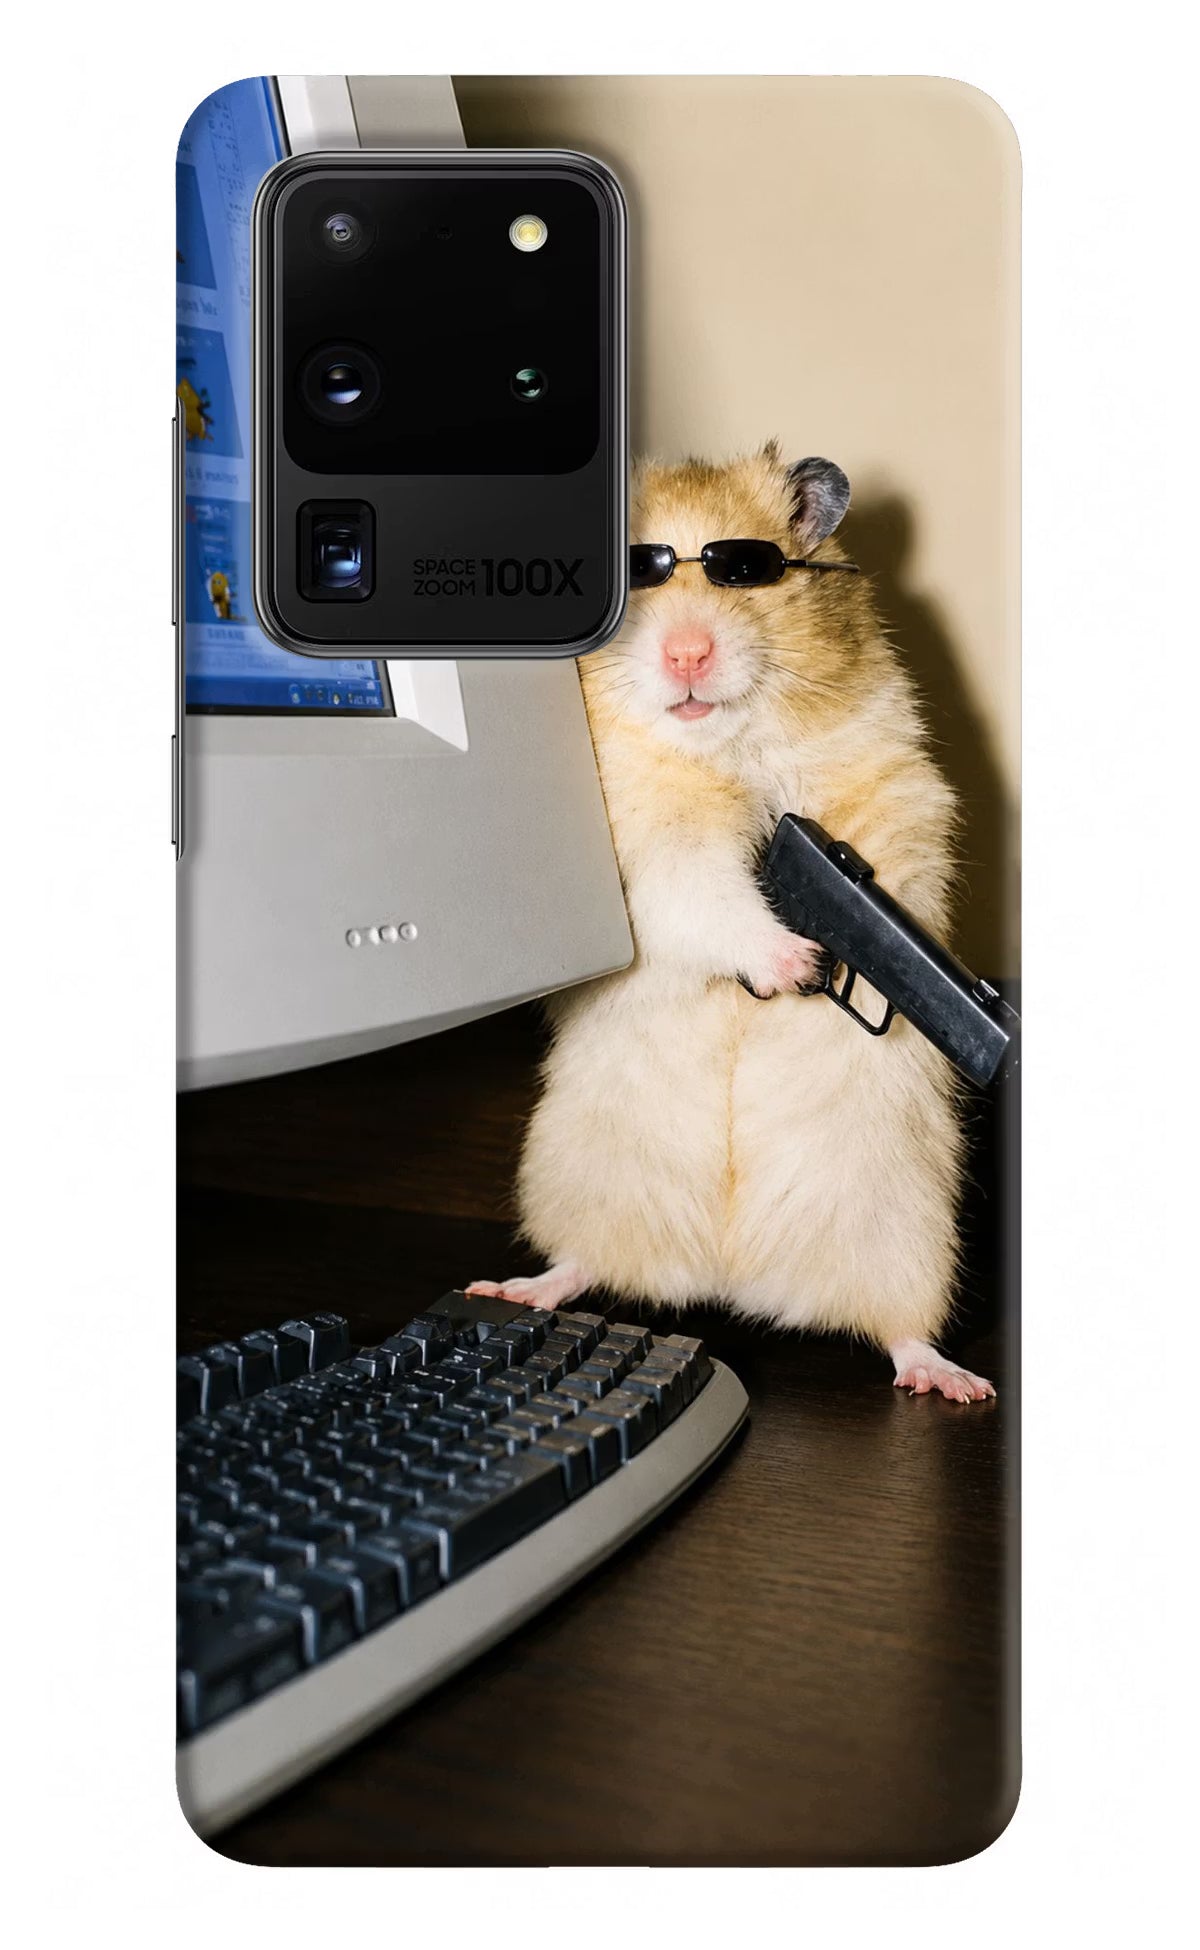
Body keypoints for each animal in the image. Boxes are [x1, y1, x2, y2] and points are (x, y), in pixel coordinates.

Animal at [469, 445, 994, 1403]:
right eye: (636, 575)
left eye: (747, 572)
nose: (687, 653)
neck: (725, 746)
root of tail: (730, 1276)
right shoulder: (650, 849)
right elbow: (707, 894)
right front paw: (797, 963)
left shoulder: (893, 788)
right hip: (580, 1176)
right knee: (582, 1263)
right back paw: (514, 1288)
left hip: (907, 1229)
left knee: (900, 1329)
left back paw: (954, 1382)